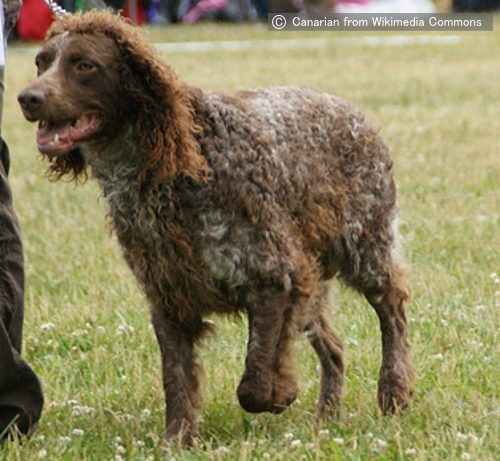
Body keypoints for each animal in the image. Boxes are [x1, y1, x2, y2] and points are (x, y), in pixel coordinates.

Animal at [17, 9, 414, 446]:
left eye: (84, 65)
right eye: (41, 63)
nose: (27, 98)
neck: (167, 168)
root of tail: (355, 114)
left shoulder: (276, 276)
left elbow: (256, 380)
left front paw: (281, 392)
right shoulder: (168, 295)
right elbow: (177, 381)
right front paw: (177, 441)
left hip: (364, 246)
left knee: (392, 310)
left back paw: (394, 391)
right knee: (336, 347)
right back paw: (327, 417)